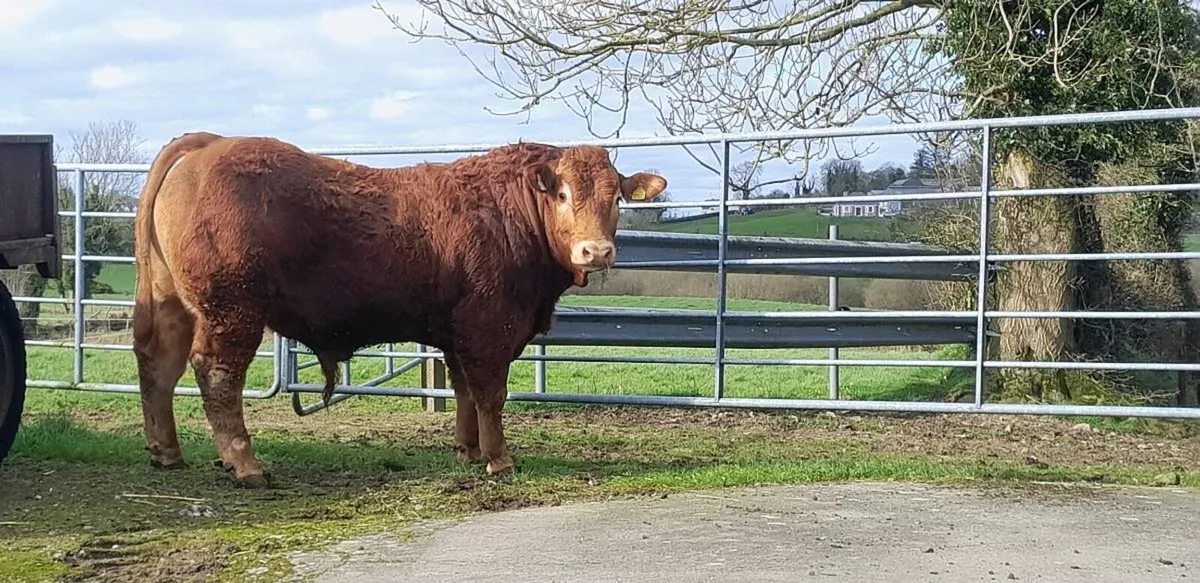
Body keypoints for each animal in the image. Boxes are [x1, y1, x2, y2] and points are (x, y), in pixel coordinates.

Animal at [131, 132, 666, 487]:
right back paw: (245, 464)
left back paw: (166, 452)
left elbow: (464, 390)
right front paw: (499, 459)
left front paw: (467, 449)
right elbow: (490, 394)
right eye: (562, 193)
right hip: (233, 309)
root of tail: (208, 144)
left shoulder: (457, 332)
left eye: (616, 198)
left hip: (173, 302)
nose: (596, 251)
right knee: (218, 374)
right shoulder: (489, 326)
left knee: (159, 363)